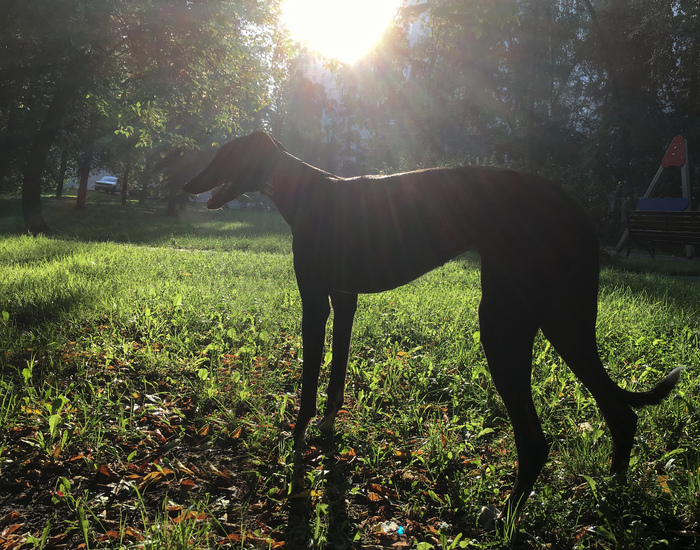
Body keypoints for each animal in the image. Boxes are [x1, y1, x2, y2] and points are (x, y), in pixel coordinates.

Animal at [183, 133, 680, 520]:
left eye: (223, 154)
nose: (186, 183)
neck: (304, 188)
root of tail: (575, 210)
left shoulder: (315, 303)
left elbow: (308, 383)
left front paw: (296, 442)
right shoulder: (344, 299)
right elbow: (336, 376)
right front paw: (326, 429)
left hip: (503, 322)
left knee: (537, 441)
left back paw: (503, 517)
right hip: (564, 320)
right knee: (620, 411)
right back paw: (612, 495)